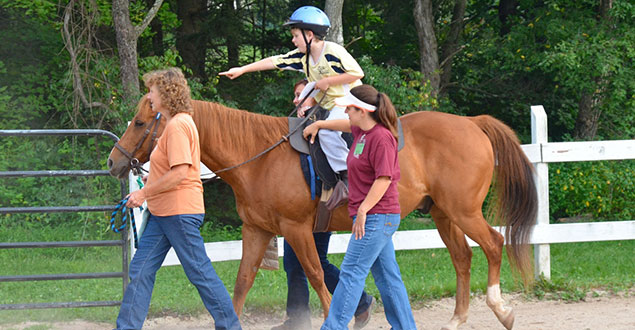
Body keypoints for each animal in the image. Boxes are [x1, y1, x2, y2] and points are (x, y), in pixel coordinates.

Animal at [108, 96, 536, 330]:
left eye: (141, 122)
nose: (114, 161)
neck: (259, 156)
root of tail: (472, 124)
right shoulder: (256, 230)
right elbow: (242, 281)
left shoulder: (296, 229)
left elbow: (316, 275)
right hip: (445, 215)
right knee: (462, 258)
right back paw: (456, 318)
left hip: (464, 211)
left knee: (493, 244)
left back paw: (500, 307)